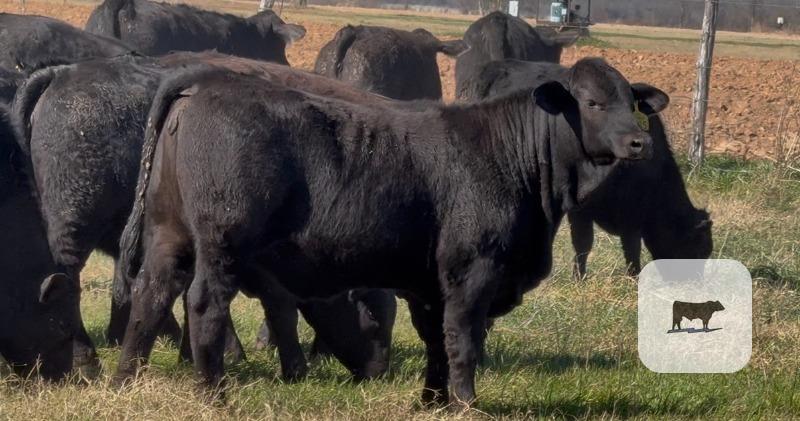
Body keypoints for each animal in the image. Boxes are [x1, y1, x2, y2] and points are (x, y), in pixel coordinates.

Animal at [12, 52, 397, 380]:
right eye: (372, 315)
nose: (379, 371)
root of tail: (62, 73)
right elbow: (278, 309)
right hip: (75, 225)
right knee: (66, 282)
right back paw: (87, 360)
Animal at [114, 57, 667, 406]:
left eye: (632, 102)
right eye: (592, 102)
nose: (639, 143)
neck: (509, 156)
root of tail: (205, 82)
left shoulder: (428, 285)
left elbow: (436, 343)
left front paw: (433, 403)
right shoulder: (472, 273)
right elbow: (463, 340)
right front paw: (466, 403)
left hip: (168, 237)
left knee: (150, 297)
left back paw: (126, 381)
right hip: (221, 245)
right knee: (203, 305)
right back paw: (215, 394)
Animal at [457, 59, 713, 277]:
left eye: (632, 106)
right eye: (694, 249)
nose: (695, 287)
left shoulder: (630, 213)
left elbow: (630, 247)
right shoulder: (582, 207)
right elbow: (586, 243)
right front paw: (581, 278)